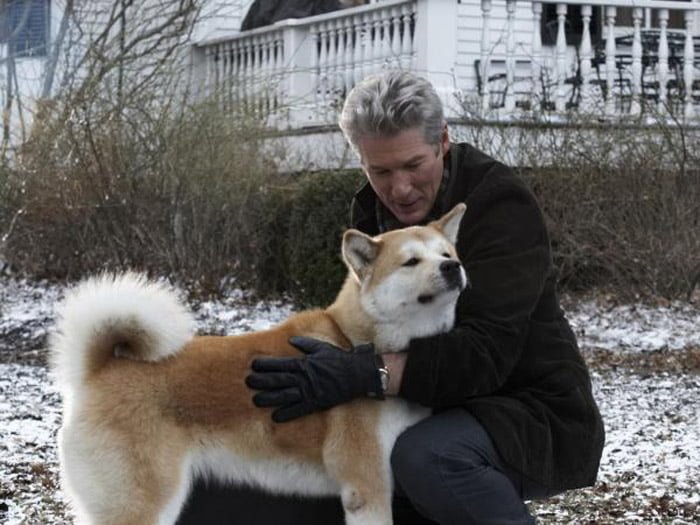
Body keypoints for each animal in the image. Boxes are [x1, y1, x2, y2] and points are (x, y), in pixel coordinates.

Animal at [52, 203, 468, 520]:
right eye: (410, 262)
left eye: (447, 254)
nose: (453, 268)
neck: (357, 342)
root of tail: (100, 369)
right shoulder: (367, 489)